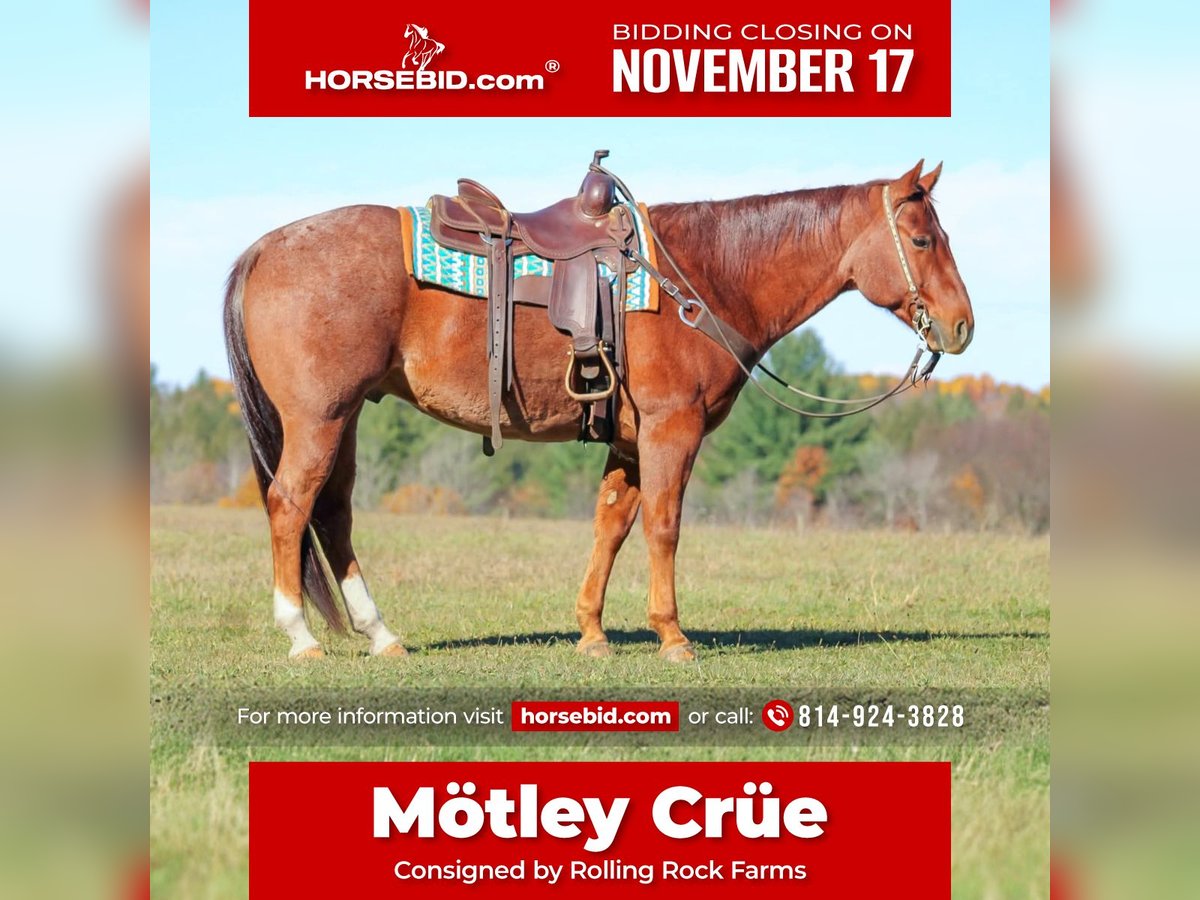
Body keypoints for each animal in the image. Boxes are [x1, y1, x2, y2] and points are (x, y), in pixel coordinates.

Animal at [223, 159, 974, 661]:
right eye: (923, 240)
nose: (962, 326)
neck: (705, 276)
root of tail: (265, 246)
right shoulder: (673, 430)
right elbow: (664, 528)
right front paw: (672, 635)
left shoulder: (630, 443)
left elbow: (610, 526)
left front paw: (591, 632)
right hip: (319, 419)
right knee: (291, 504)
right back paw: (299, 635)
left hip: (344, 419)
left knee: (333, 514)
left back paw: (382, 635)